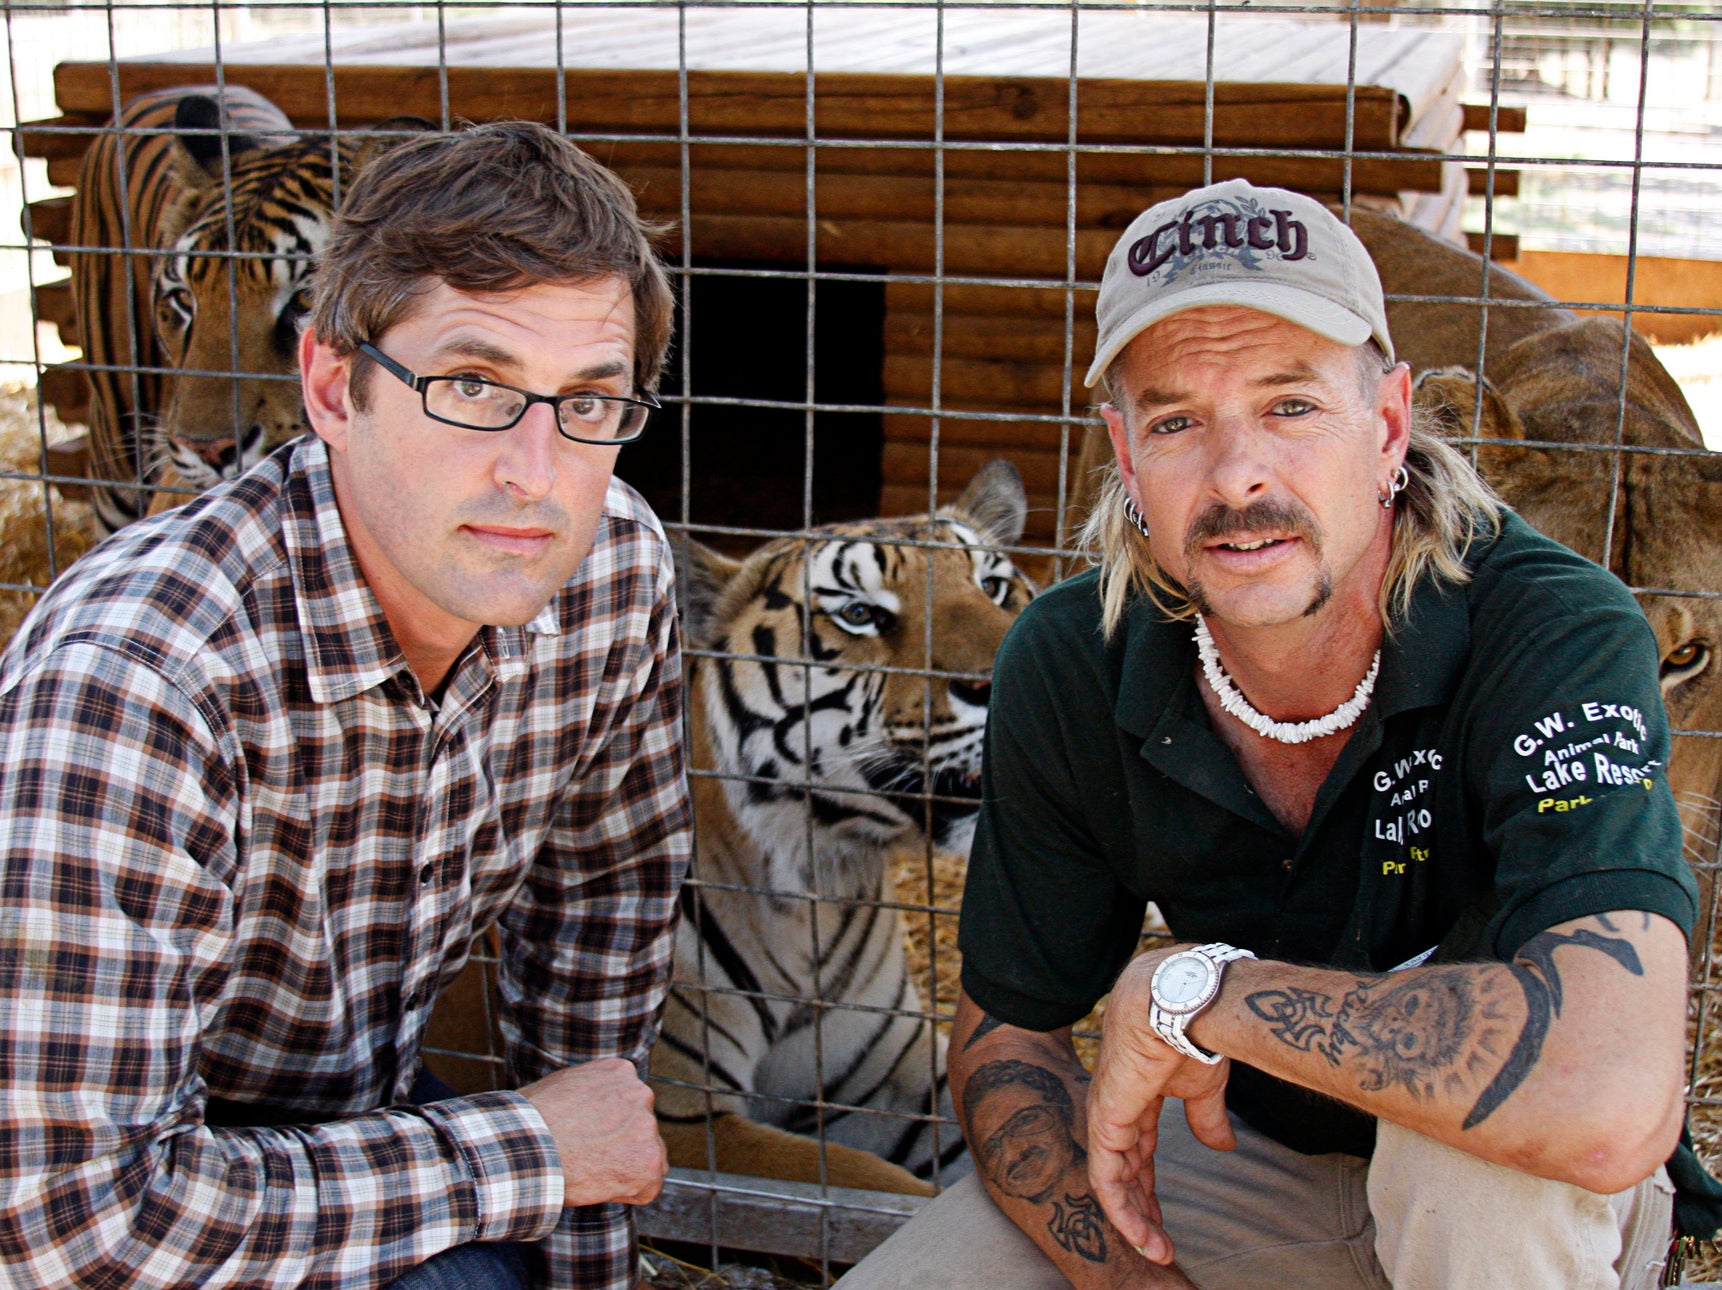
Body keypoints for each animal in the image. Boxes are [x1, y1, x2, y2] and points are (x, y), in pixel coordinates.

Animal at [647, 458, 1033, 1191]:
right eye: (860, 615)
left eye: (994, 587)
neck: (813, 892)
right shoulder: (677, 1120)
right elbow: (881, 1187)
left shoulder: (899, 1082)